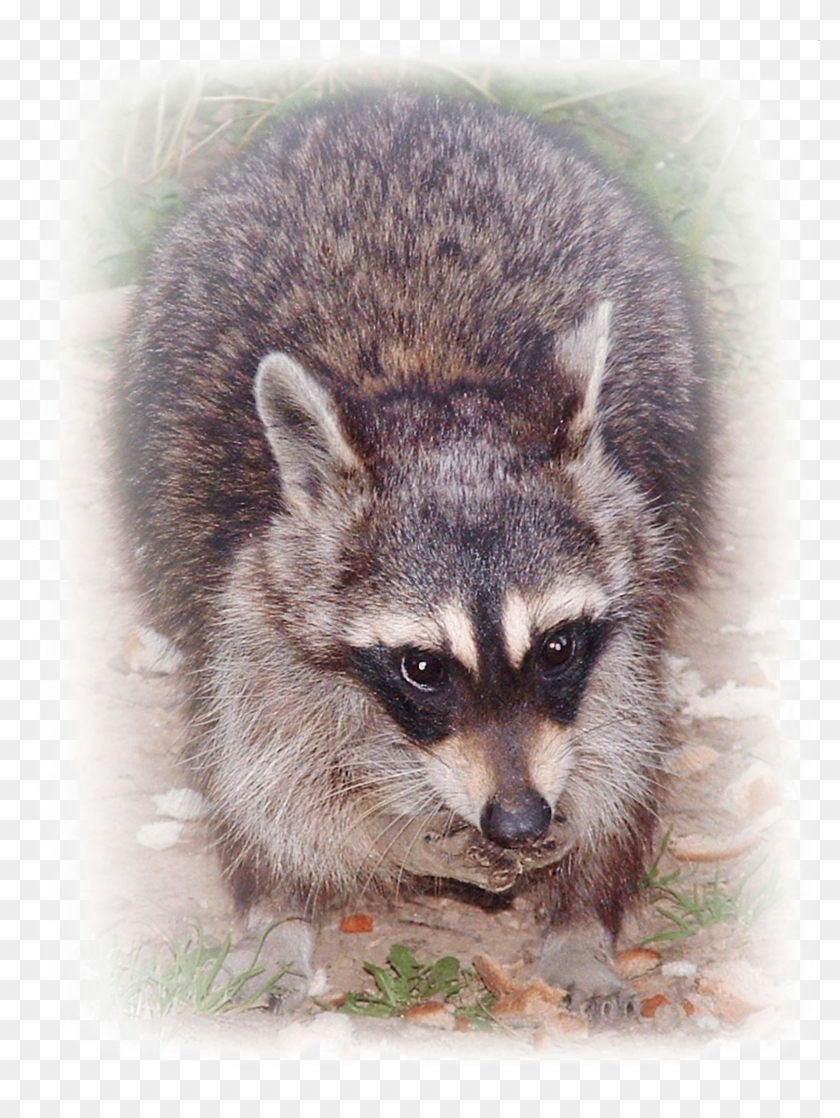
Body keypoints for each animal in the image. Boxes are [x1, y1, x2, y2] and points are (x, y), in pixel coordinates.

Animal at [113, 92, 711, 1018]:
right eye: (422, 668)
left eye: (556, 647)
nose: (519, 820)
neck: (436, 392)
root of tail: (398, 100)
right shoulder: (249, 596)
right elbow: (271, 776)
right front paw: (346, 859)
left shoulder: (630, 587)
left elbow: (620, 752)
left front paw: (583, 906)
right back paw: (279, 910)